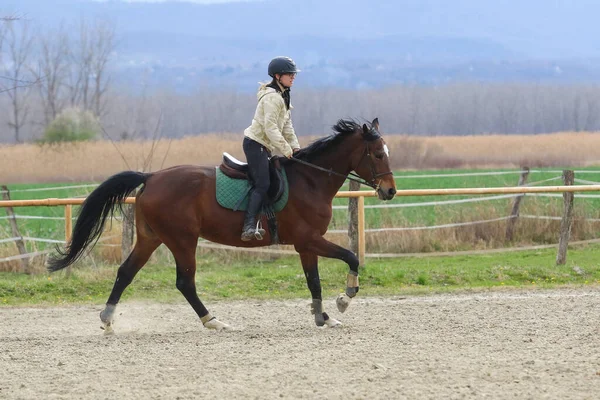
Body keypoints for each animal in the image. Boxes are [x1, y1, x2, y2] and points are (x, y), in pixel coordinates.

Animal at [48, 118, 398, 332]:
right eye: (378, 154)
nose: (390, 191)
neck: (310, 179)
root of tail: (151, 177)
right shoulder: (309, 239)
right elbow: (351, 258)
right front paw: (344, 299)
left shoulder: (305, 245)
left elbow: (314, 282)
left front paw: (323, 317)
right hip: (183, 240)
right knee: (185, 283)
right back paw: (214, 321)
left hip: (150, 238)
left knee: (125, 272)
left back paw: (108, 320)